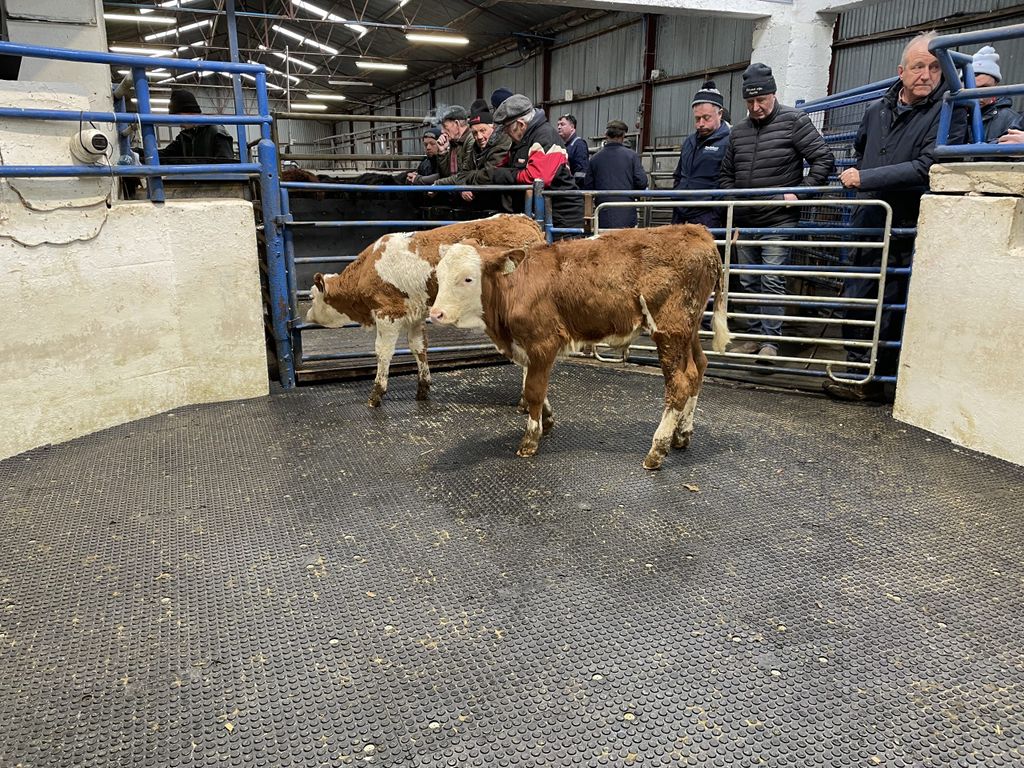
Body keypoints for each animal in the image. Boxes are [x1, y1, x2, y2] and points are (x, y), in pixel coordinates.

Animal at [305, 214, 545, 407]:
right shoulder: (415, 313)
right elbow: (418, 347)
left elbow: (383, 352)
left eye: (312, 297)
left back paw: (525, 400)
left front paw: (376, 395)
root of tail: (522, 220)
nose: (307, 315)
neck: (367, 268)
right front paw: (423, 388)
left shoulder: (387, 313)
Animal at [428, 224, 730, 470]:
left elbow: (533, 390)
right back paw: (682, 434)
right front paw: (547, 421)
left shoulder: (542, 343)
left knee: (679, 383)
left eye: (468, 278)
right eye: (439, 277)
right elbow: (534, 386)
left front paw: (530, 440)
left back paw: (657, 450)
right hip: (688, 330)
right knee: (698, 369)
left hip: (669, 329)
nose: (436, 313)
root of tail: (697, 231)